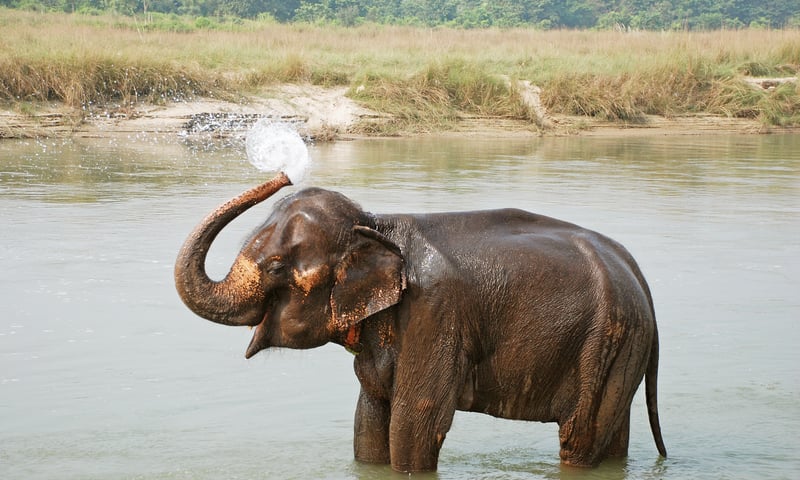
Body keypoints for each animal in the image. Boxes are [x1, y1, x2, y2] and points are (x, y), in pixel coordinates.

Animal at [174, 172, 667, 473]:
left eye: (276, 267)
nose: (284, 175)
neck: (376, 224)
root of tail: (639, 276)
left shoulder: (434, 314)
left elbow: (415, 423)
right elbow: (370, 419)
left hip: (605, 340)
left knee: (580, 438)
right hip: (621, 347)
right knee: (611, 434)